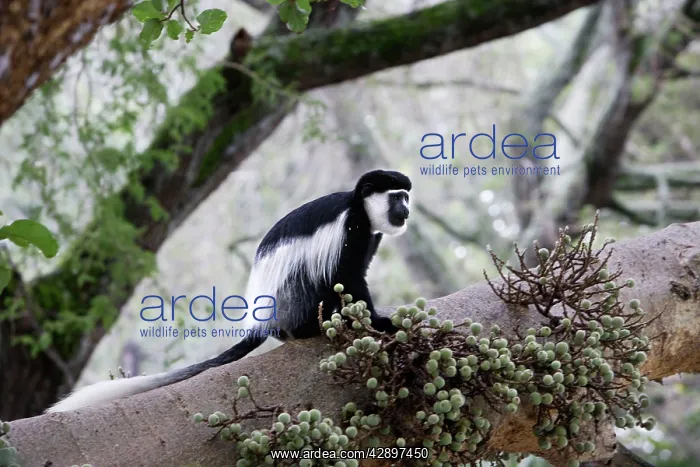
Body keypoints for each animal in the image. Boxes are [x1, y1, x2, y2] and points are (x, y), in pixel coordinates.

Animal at [46, 169, 412, 413]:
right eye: (397, 197)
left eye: (406, 197)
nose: (406, 210)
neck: (359, 207)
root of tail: (265, 322)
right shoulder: (351, 227)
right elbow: (346, 276)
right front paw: (374, 322)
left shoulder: (371, 234)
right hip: (294, 299)